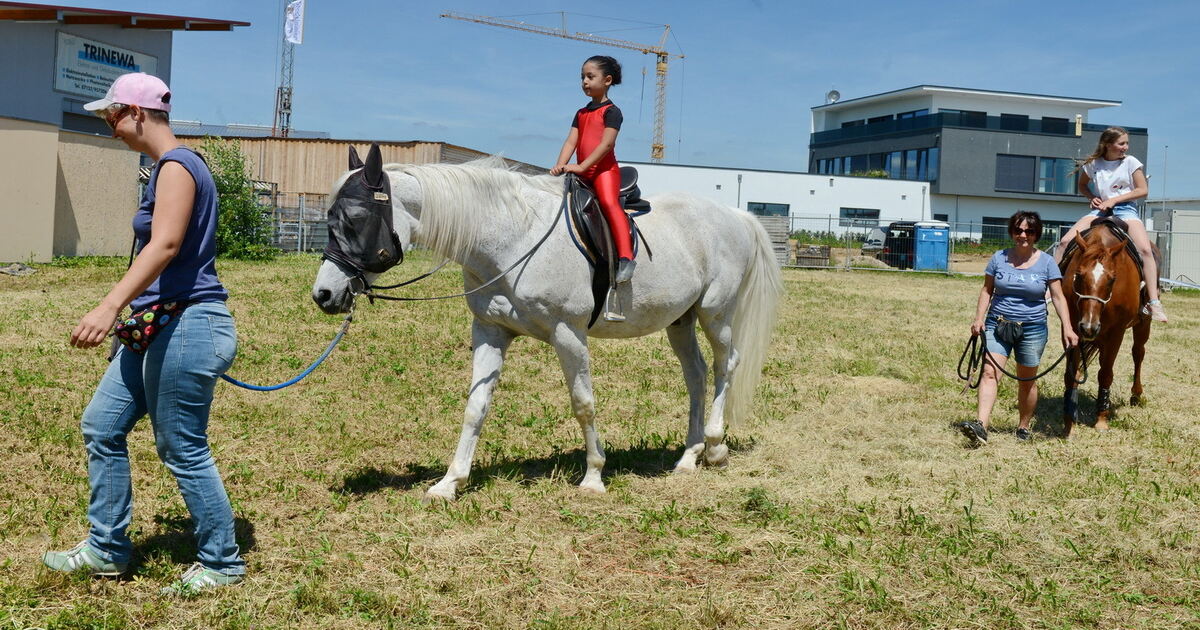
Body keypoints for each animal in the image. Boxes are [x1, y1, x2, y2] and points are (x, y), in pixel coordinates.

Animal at [309, 143, 782, 501]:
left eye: (355, 219)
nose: (325, 294)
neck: (511, 237)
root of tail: (736, 215)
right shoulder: (490, 331)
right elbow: (475, 407)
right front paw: (449, 483)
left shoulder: (567, 333)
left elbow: (583, 402)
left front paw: (593, 477)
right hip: (680, 320)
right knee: (697, 376)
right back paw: (688, 457)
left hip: (715, 313)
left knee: (726, 365)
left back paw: (716, 449)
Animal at [1065, 218, 1156, 434]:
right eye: (1079, 275)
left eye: (1112, 279)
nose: (1088, 326)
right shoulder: (1072, 326)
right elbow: (1071, 373)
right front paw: (1069, 417)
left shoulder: (1116, 332)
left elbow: (1106, 374)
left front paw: (1101, 419)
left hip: (1143, 325)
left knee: (1138, 353)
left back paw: (1136, 394)